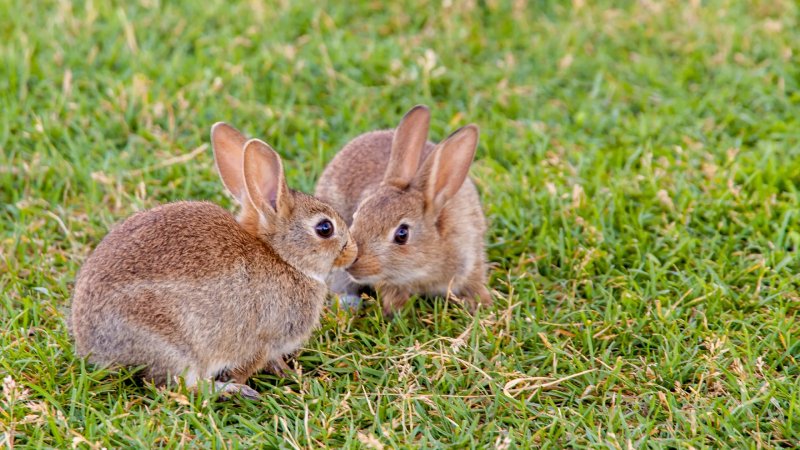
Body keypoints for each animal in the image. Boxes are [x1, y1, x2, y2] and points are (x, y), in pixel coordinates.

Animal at [69, 122, 356, 398]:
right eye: (325, 228)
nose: (352, 252)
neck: (282, 256)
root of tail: (94, 346)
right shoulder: (262, 341)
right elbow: (250, 364)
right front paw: (265, 377)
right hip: (173, 347)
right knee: (178, 387)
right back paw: (232, 391)